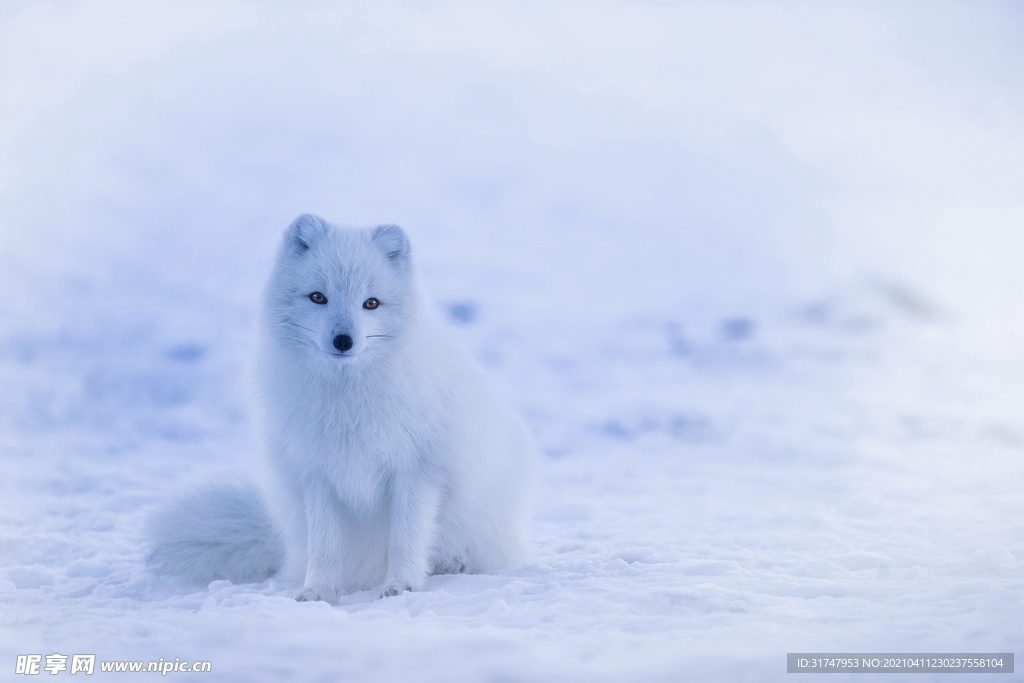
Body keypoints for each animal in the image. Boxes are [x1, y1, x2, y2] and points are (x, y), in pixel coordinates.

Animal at [151, 216, 536, 602]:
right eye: (318, 297)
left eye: (371, 303)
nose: (343, 341)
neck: (347, 400)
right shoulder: (317, 475)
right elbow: (325, 545)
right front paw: (318, 590)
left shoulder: (417, 471)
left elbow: (406, 538)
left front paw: (402, 585)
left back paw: (452, 564)